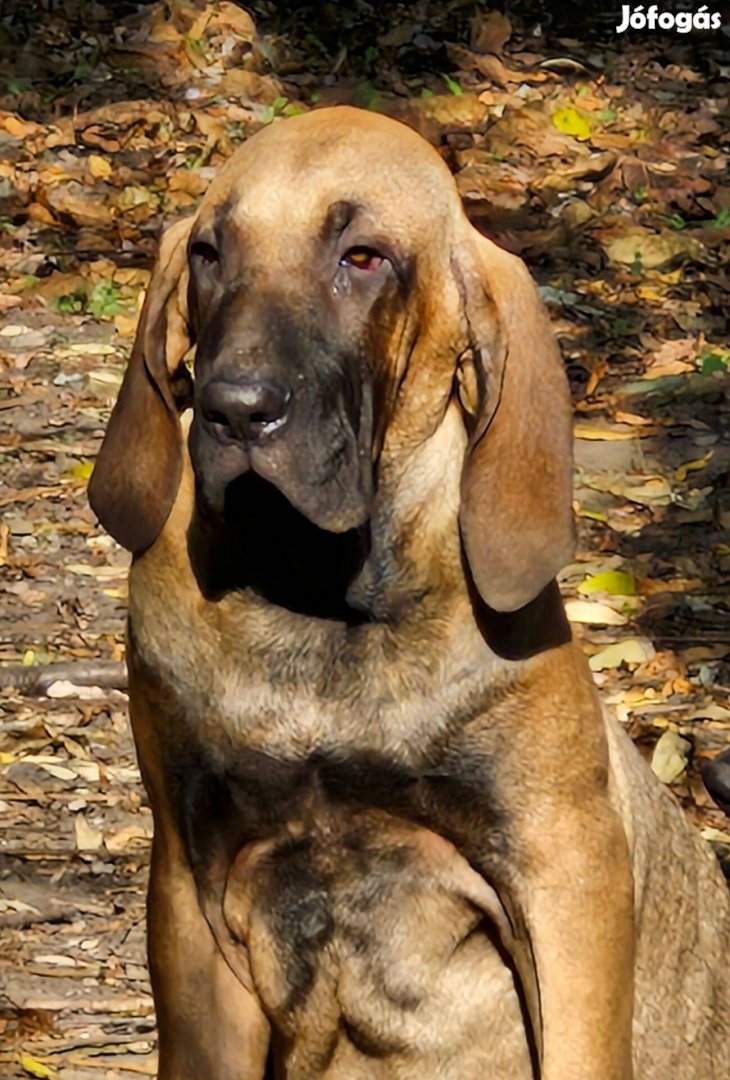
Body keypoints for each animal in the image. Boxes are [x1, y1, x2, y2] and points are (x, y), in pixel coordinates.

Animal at [86, 107, 730, 1080]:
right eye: (208, 252)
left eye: (363, 257)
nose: (237, 408)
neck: (320, 607)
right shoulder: (192, 892)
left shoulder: (563, 874)